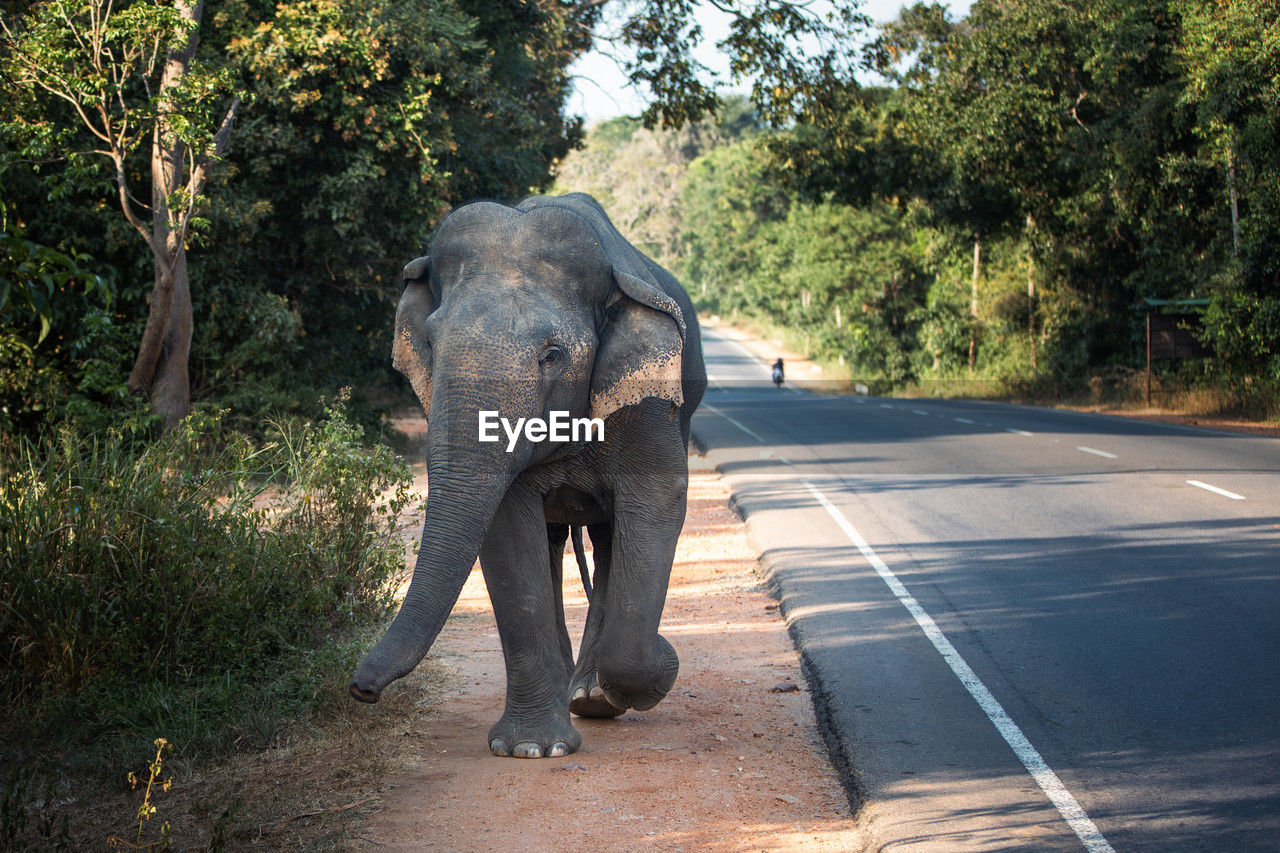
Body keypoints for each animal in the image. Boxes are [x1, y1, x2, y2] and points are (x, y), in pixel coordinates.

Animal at [350, 189, 706, 753]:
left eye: (553, 355)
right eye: (431, 344)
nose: (361, 689)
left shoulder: (648, 402)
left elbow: (657, 499)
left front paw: (661, 664)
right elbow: (507, 527)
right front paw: (532, 749)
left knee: (609, 535)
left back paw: (592, 699)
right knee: (559, 538)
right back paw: (574, 697)